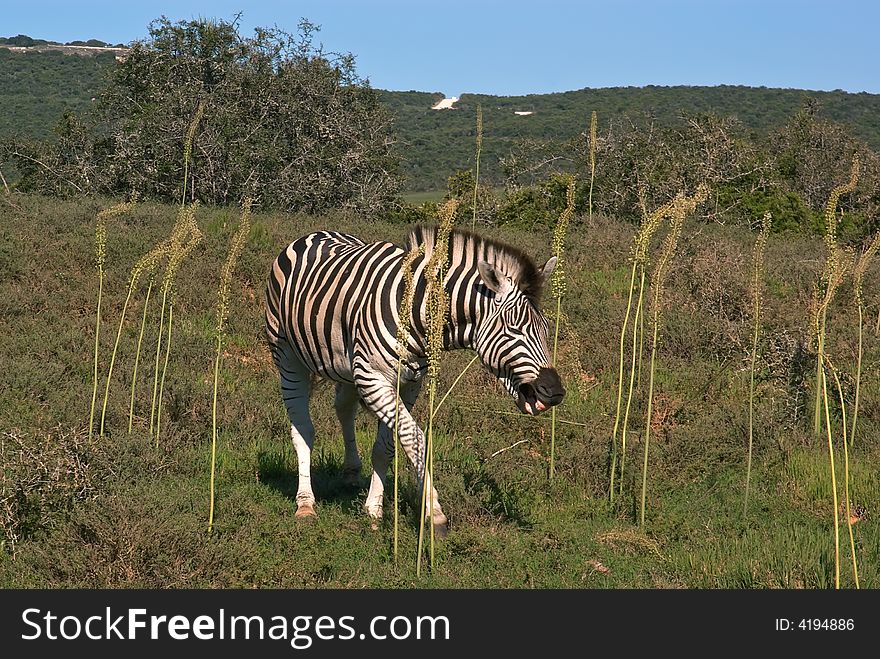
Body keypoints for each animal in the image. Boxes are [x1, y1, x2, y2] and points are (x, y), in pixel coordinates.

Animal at [264, 226, 564, 536]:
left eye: (546, 329)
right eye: (513, 329)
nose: (555, 392)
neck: (417, 311)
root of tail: (316, 233)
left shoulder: (408, 384)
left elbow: (386, 447)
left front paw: (373, 509)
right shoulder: (373, 379)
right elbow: (415, 438)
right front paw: (434, 513)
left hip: (345, 365)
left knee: (344, 408)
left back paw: (351, 472)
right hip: (287, 356)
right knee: (303, 430)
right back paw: (305, 503)